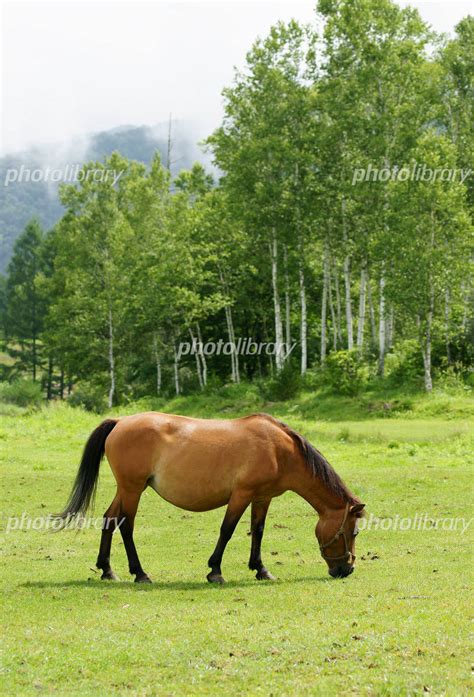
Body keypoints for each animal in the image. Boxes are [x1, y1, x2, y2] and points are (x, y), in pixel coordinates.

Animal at [56, 414, 366, 580]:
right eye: (353, 531)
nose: (347, 569)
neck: (280, 450)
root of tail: (120, 421)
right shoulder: (241, 495)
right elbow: (227, 530)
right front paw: (215, 570)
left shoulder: (262, 497)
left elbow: (258, 531)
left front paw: (260, 569)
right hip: (132, 489)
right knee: (126, 525)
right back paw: (140, 573)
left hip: (128, 489)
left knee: (109, 520)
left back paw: (107, 570)